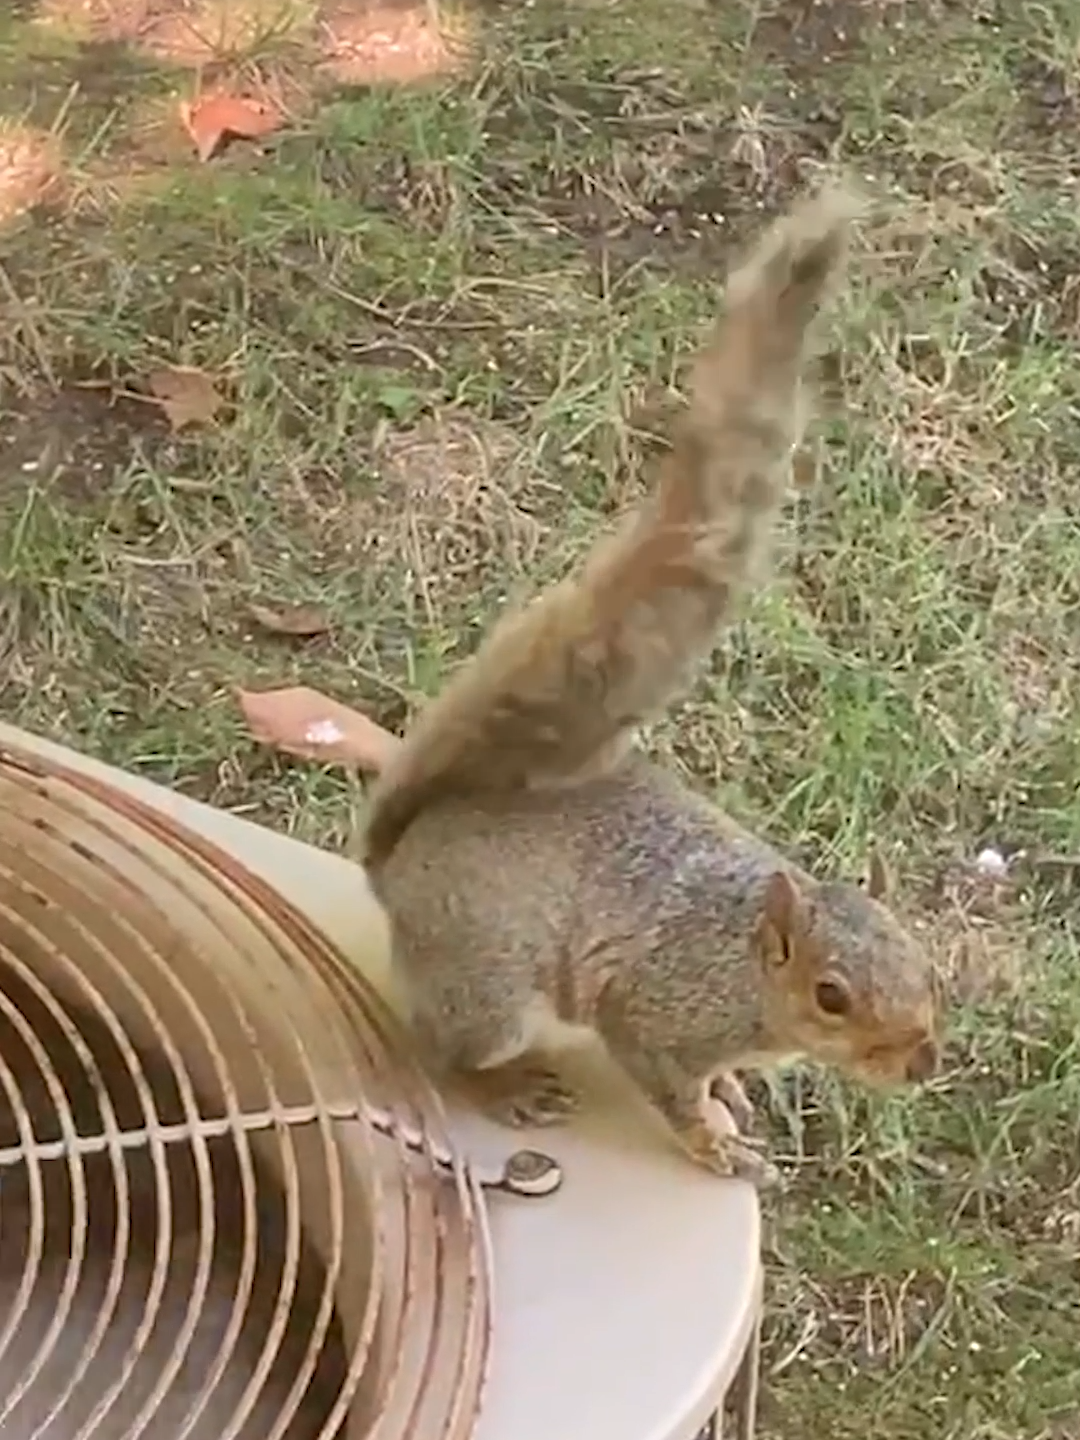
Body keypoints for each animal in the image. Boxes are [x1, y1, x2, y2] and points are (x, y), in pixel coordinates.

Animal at [361, 185, 938, 1186]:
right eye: (831, 995)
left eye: (921, 960)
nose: (922, 1060)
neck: (744, 958)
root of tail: (396, 862)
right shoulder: (660, 1011)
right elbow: (666, 1083)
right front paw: (717, 1143)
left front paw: (735, 1095)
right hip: (492, 987)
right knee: (443, 1048)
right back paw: (505, 1086)